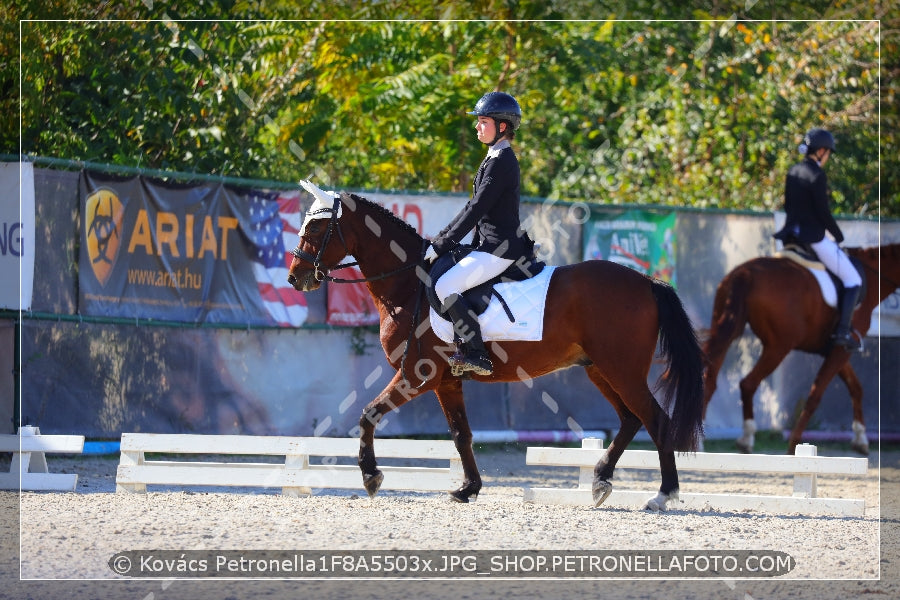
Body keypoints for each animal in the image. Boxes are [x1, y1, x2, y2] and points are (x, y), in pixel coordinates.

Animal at [284, 188, 708, 510]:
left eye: (317, 225)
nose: (295, 277)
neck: (408, 285)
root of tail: (646, 281)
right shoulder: (446, 382)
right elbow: (461, 435)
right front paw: (468, 488)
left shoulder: (416, 376)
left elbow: (369, 414)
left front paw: (371, 477)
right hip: (599, 368)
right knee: (631, 419)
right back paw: (601, 481)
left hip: (621, 369)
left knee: (656, 420)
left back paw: (663, 495)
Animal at [704, 244, 900, 454]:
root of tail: (746, 273)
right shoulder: (842, 350)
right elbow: (815, 396)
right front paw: (793, 447)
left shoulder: (833, 350)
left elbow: (856, 388)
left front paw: (861, 439)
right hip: (778, 347)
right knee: (748, 383)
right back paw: (745, 439)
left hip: (725, 330)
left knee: (710, 381)